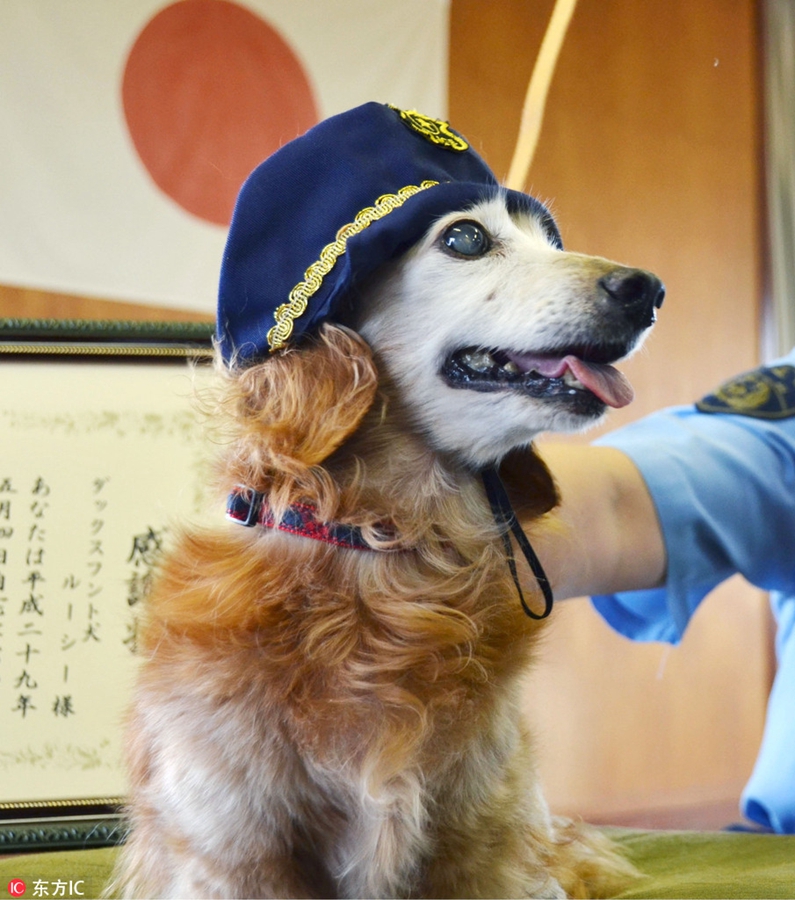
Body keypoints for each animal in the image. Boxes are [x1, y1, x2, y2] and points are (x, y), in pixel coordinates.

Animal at [109, 107, 664, 900]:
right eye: (465, 238)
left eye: (550, 241)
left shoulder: (482, 844)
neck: (385, 558)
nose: (647, 288)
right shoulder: (231, 852)